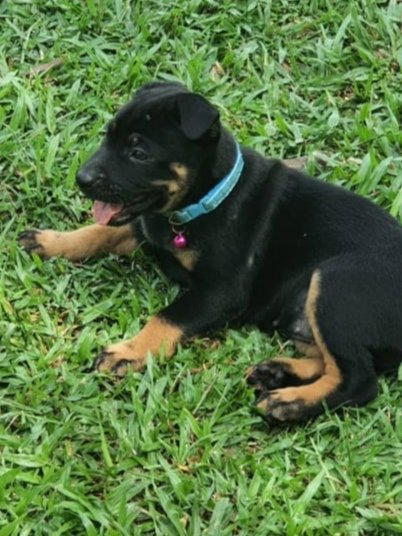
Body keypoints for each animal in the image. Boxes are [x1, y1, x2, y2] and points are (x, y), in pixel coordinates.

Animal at [19, 80, 402, 422]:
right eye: (107, 136)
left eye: (138, 153)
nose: (81, 179)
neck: (203, 200)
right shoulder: (143, 225)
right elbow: (97, 231)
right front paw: (50, 241)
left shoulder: (221, 292)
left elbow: (167, 317)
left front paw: (129, 352)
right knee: (333, 361)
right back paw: (277, 373)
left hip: (334, 283)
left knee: (359, 379)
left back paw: (290, 402)